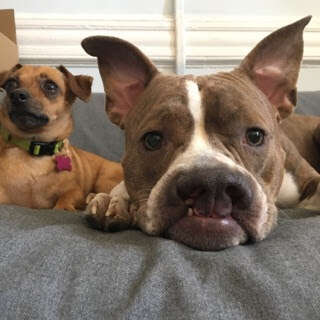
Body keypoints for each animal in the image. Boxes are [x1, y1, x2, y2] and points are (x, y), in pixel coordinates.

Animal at [0, 64, 122, 210]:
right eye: (11, 83)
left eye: (50, 86)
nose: (16, 95)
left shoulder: (76, 191)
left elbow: (64, 198)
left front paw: (64, 206)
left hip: (104, 180)